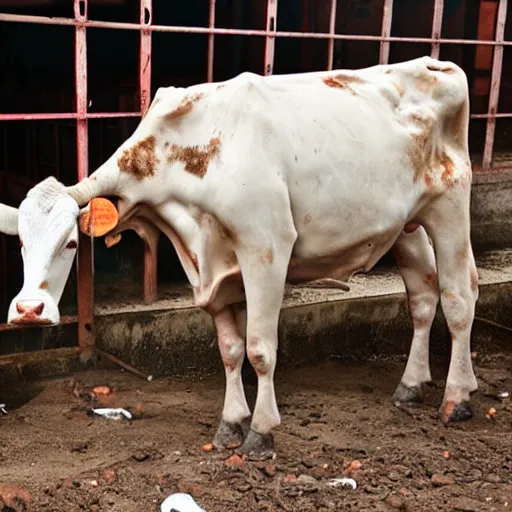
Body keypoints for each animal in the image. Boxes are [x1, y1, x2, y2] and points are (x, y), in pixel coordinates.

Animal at [7, 58, 480, 454]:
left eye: (70, 243)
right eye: (21, 244)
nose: (28, 310)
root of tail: (434, 63)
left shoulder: (265, 246)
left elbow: (260, 348)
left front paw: (261, 430)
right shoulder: (212, 272)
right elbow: (231, 349)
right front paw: (231, 422)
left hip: (450, 208)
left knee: (459, 297)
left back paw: (456, 397)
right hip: (407, 226)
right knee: (423, 296)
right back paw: (412, 385)